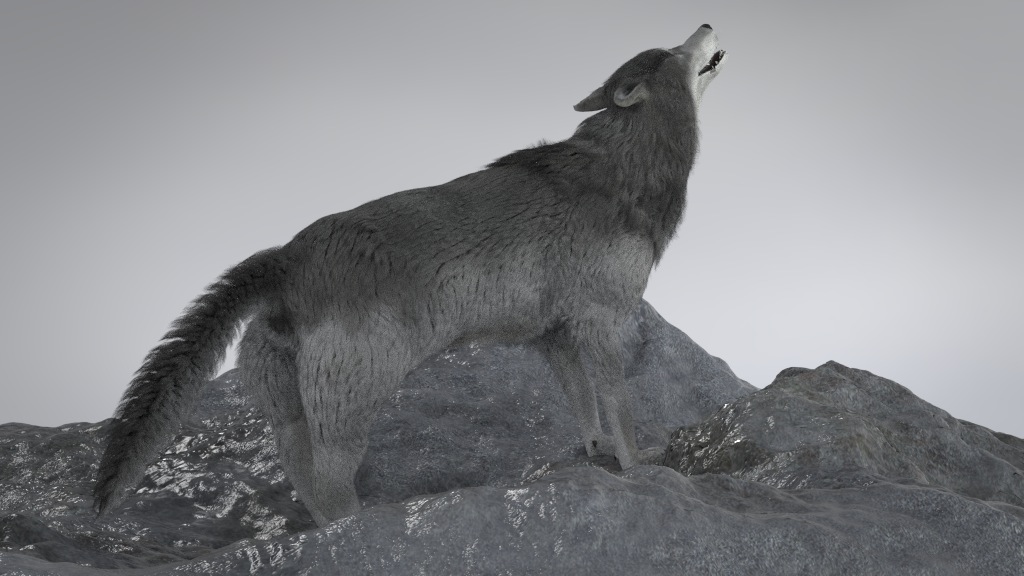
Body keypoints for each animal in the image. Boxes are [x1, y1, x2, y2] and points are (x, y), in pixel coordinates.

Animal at [93, 24, 727, 527]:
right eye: (676, 49)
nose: (706, 21)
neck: (625, 164)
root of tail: (288, 255)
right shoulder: (603, 319)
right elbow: (619, 403)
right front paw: (638, 464)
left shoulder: (556, 337)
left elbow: (584, 402)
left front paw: (594, 449)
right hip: (352, 401)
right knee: (329, 482)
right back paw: (357, 529)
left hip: (292, 410)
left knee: (301, 476)